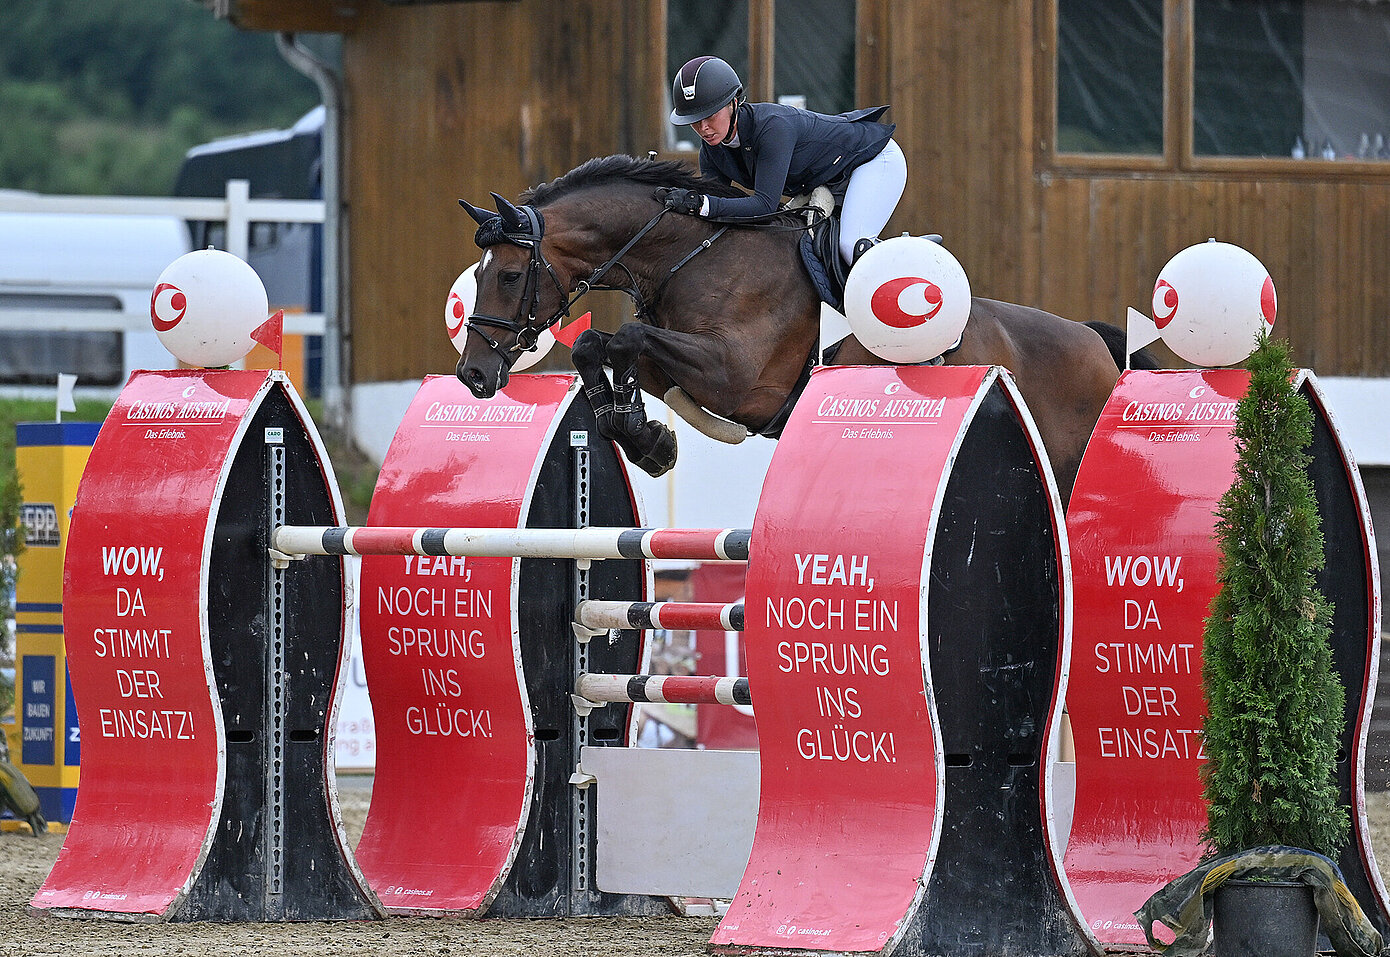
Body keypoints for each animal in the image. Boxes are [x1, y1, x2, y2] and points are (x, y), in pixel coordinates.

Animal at [455, 153, 1128, 503]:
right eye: (480, 274)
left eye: (509, 275)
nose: (473, 376)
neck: (690, 254)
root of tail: (1095, 341)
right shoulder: (685, 359)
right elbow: (600, 345)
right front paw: (642, 436)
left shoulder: (738, 377)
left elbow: (624, 338)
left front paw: (641, 432)